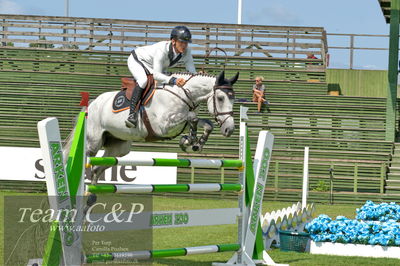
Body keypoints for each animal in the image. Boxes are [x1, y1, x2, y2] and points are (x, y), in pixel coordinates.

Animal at [63, 71, 238, 186]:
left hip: (118, 148)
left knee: (96, 170)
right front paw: (189, 140)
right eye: (220, 98)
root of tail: (92, 104)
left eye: (233, 99)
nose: (229, 129)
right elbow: (192, 117)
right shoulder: (163, 126)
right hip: (92, 143)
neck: (182, 95)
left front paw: (195, 142)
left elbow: (205, 123)